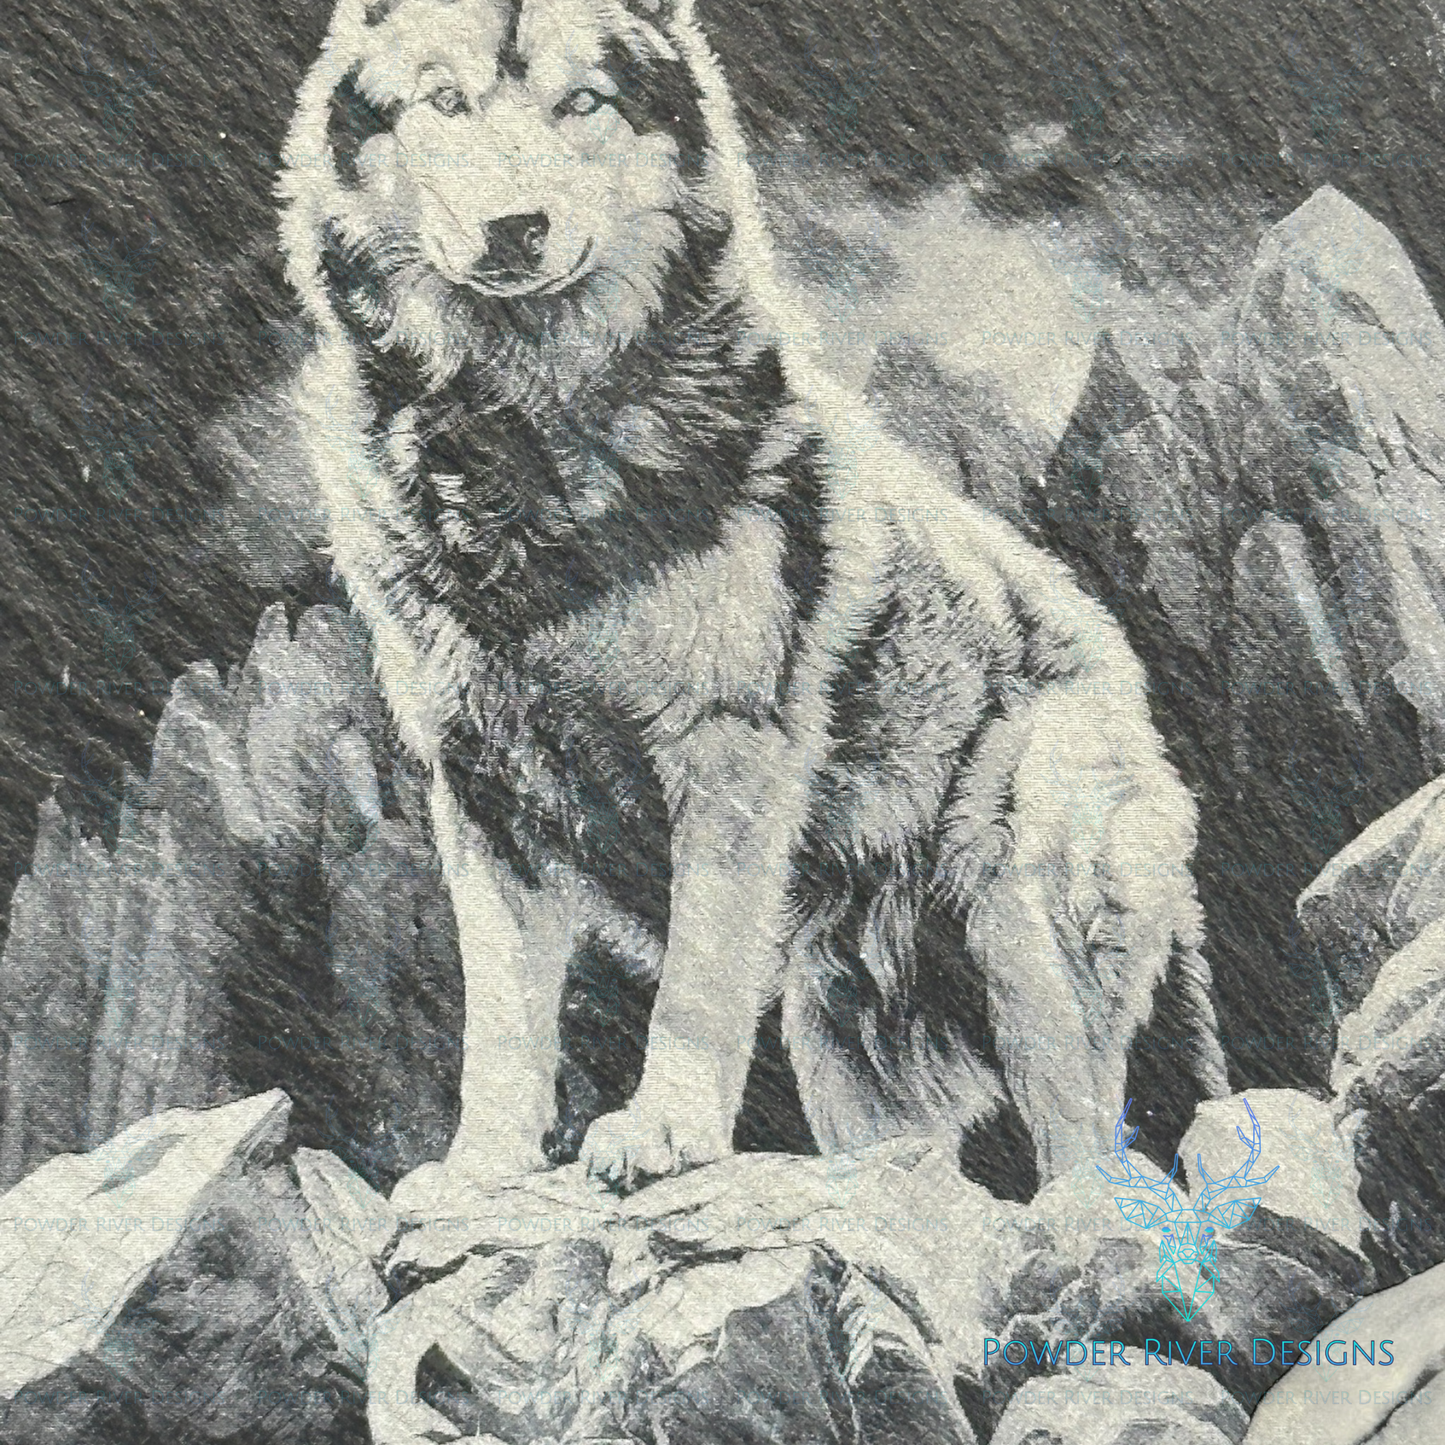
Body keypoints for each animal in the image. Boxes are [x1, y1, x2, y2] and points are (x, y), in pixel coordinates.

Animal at [278, 0, 1228, 1205]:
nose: (513, 229)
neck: (520, 453)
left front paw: (662, 1132)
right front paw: (480, 1168)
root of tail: (1132, 693)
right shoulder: (481, 789)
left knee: (1088, 1150)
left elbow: (692, 986)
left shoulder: (721, 755)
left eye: (580, 102)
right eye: (445, 102)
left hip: (1021, 940)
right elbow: (501, 1023)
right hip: (843, 1037)